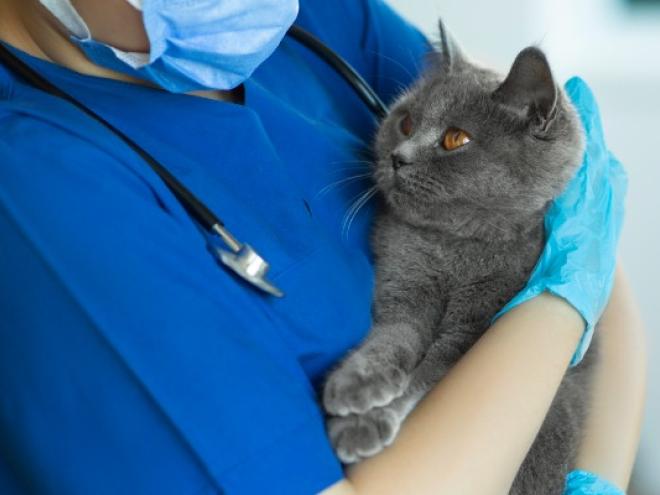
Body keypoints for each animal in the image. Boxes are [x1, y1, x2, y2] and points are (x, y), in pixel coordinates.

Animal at [322, 20, 596, 495]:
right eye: (406, 122)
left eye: (456, 139)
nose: (398, 157)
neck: (452, 246)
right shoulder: (403, 284)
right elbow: (393, 337)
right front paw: (359, 384)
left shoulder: (475, 327)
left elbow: (427, 380)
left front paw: (363, 425)